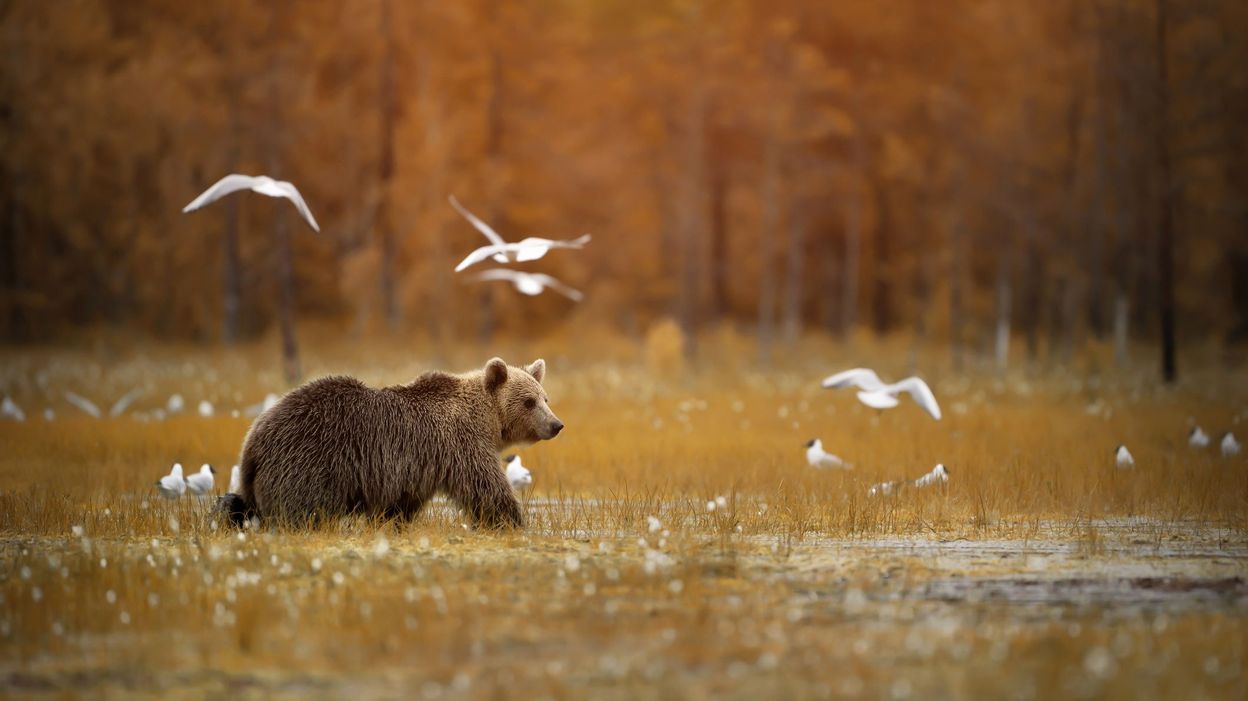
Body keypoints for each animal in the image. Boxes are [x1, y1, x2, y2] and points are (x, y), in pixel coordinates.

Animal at [219, 356, 561, 526]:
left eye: (545, 398)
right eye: (529, 402)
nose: (556, 424)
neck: (486, 420)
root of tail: (253, 440)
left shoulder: (414, 472)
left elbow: (398, 507)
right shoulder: (461, 445)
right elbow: (487, 489)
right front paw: (513, 521)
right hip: (309, 460)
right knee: (303, 509)